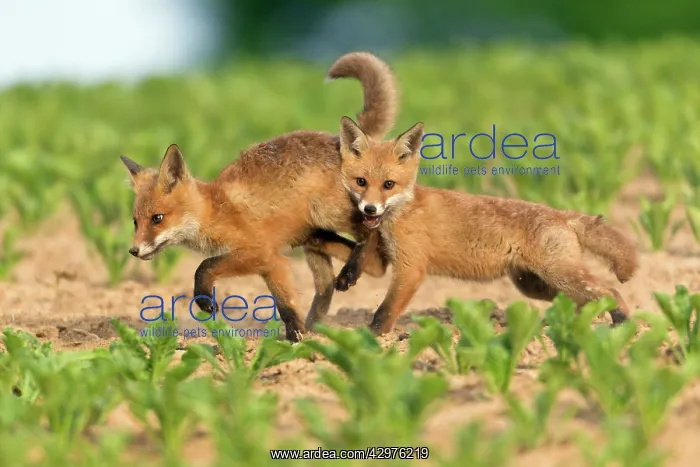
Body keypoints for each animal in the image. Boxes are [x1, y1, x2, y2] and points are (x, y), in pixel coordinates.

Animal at [119, 51, 399, 342]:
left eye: (157, 218)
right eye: (135, 222)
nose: (133, 250)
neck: (215, 210)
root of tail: (338, 141)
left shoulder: (259, 254)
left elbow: (204, 266)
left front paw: (205, 300)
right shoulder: (272, 264)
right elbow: (286, 305)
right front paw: (297, 338)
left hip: (332, 214)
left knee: (370, 233)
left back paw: (350, 272)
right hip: (311, 240)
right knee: (334, 281)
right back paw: (317, 324)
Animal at [332, 116, 639, 335]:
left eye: (388, 185)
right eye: (361, 182)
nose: (369, 209)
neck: (402, 213)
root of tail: (560, 213)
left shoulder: (411, 269)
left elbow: (384, 312)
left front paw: (372, 342)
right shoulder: (384, 259)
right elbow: (358, 250)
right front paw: (347, 275)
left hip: (558, 274)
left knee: (608, 291)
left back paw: (622, 323)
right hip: (535, 285)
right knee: (581, 300)